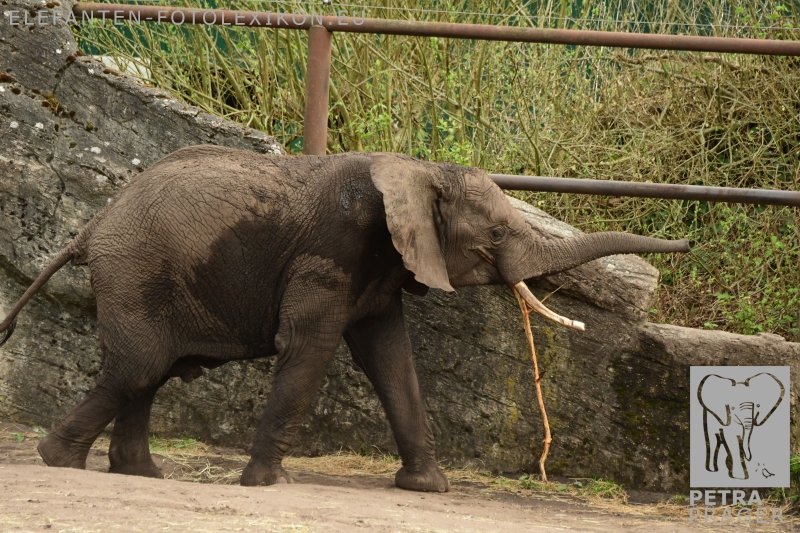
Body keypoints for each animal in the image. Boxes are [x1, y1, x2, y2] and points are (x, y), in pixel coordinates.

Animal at [0, 146, 690, 491]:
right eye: (495, 234)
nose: (685, 246)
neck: (419, 169)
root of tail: (90, 227)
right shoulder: (333, 250)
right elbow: (310, 347)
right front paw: (265, 484)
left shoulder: (381, 265)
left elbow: (390, 357)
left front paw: (428, 489)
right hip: (137, 269)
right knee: (141, 365)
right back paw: (58, 461)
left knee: (152, 369)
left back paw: (140, 473)